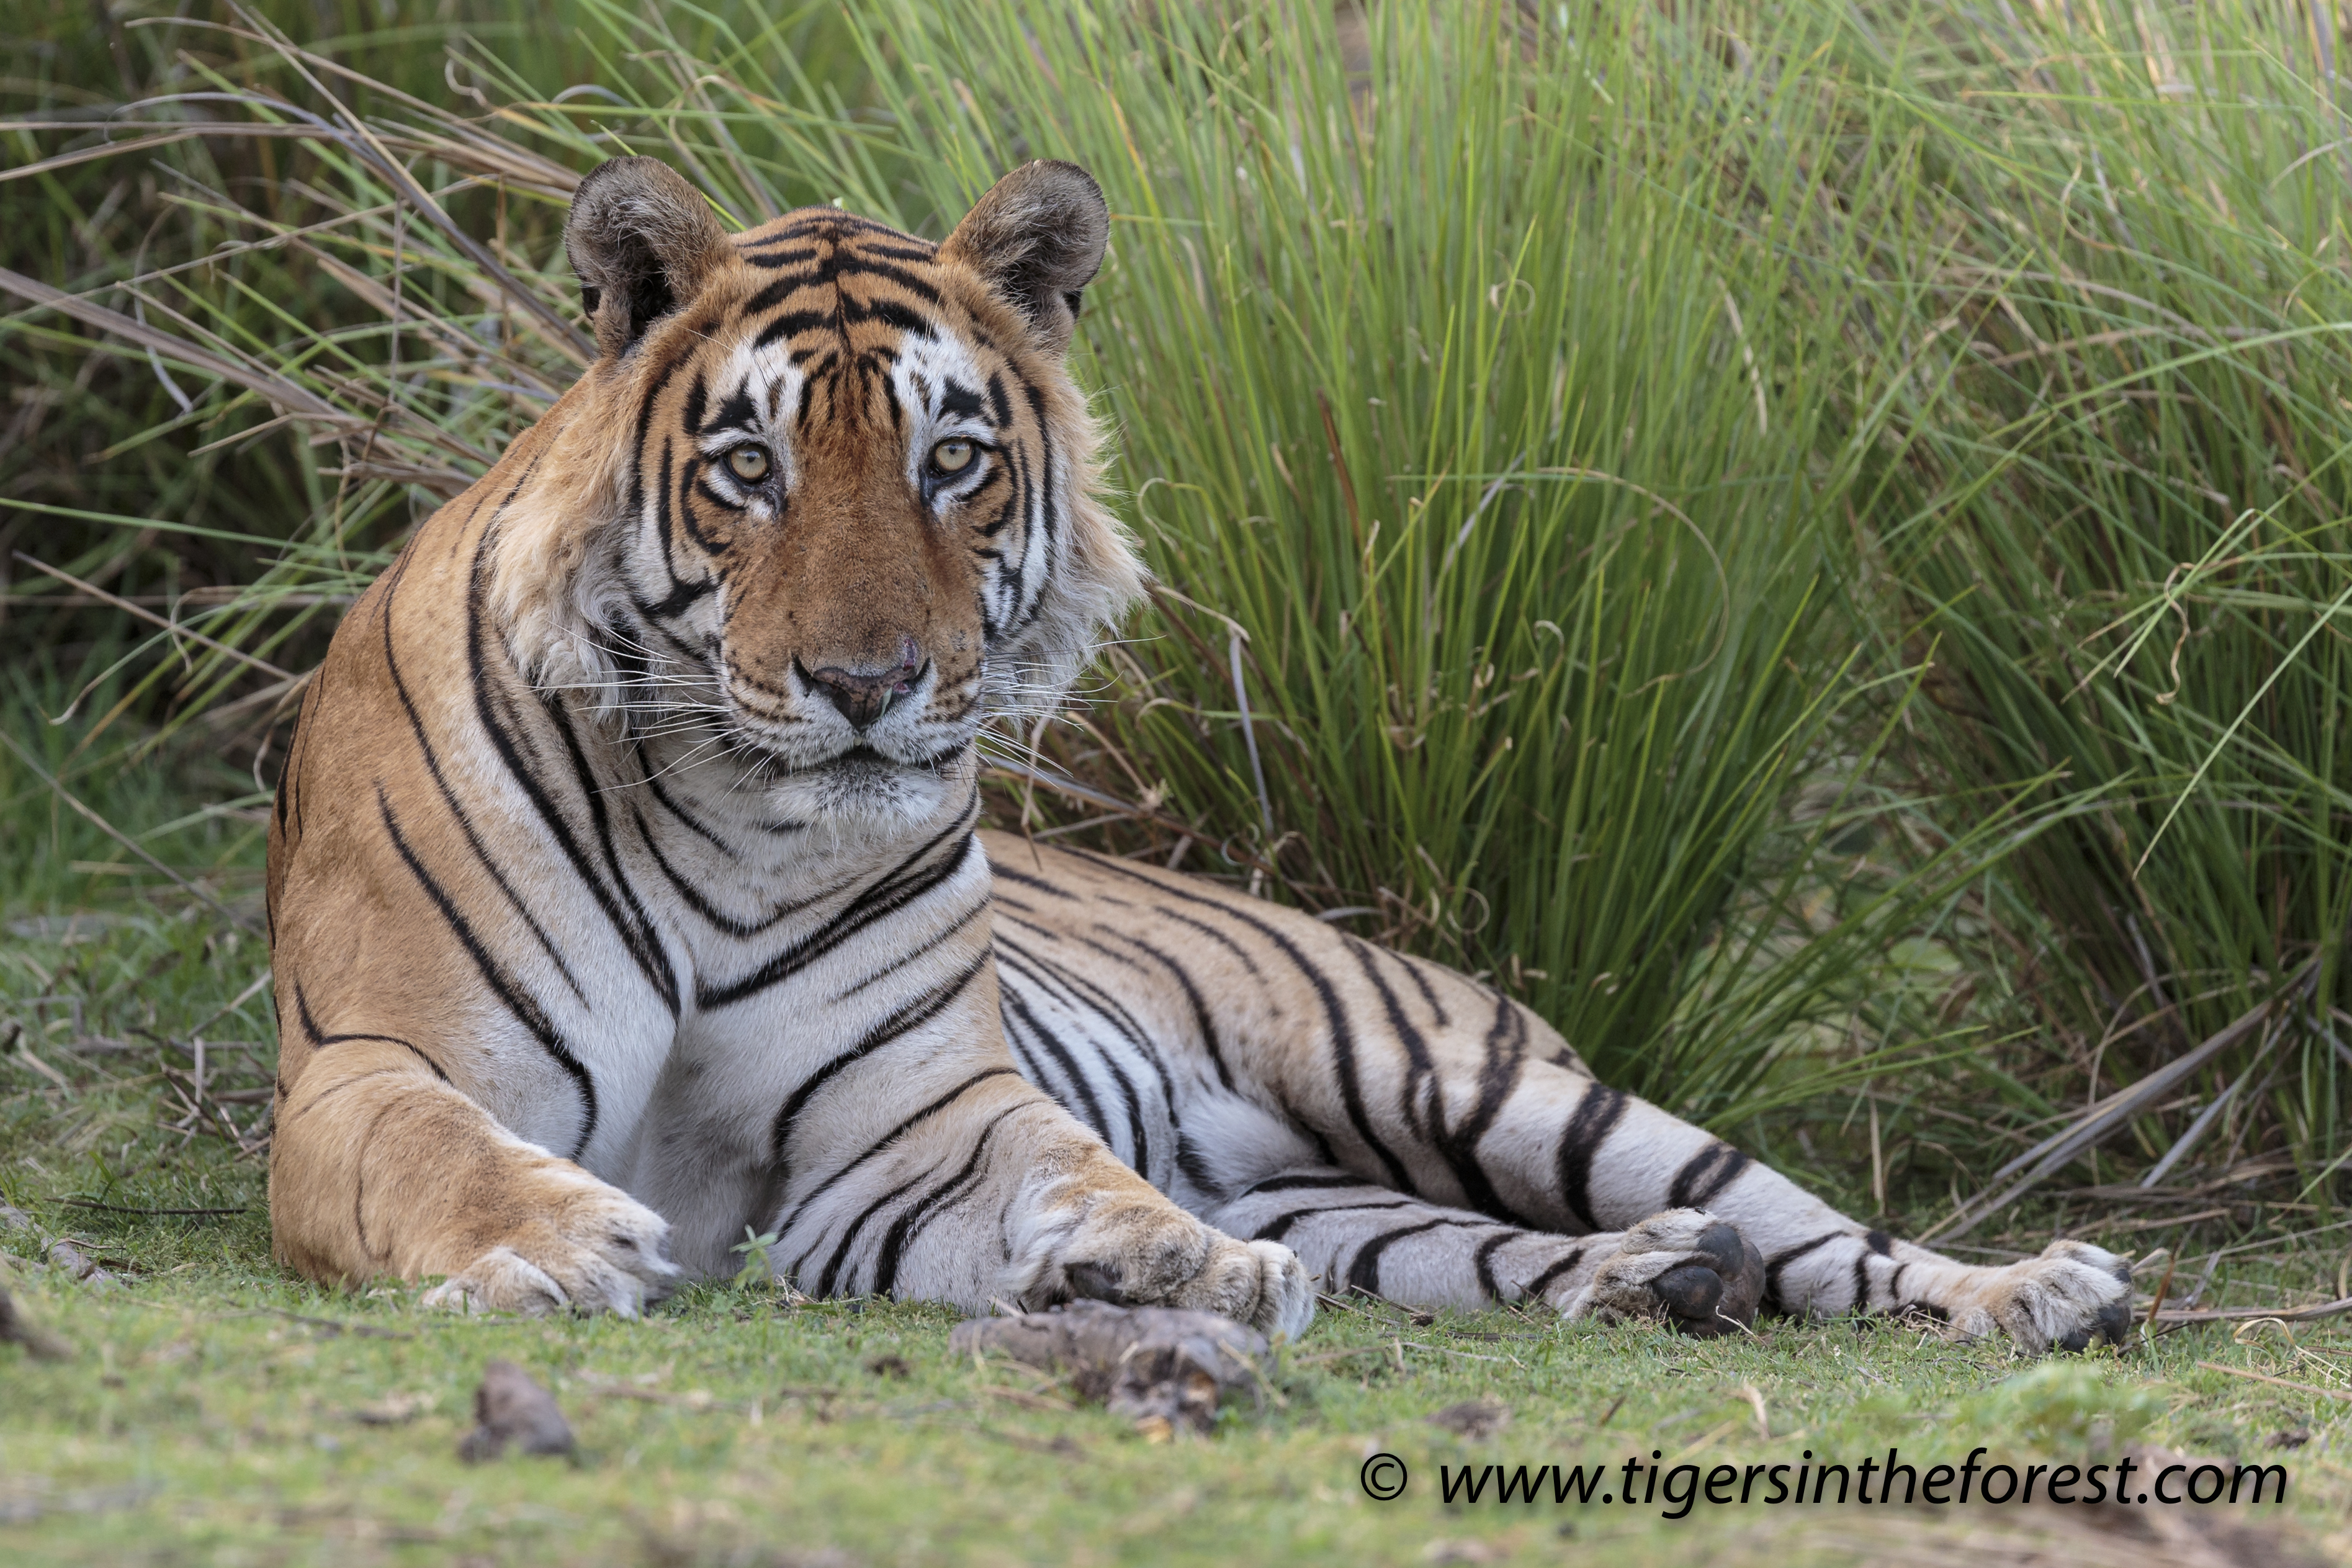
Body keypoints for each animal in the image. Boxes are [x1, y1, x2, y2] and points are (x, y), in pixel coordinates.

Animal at [264, 154, 2134, 1353]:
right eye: (749, 468)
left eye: (952, 460)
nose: (868, 682)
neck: (729, 811)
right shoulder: (362, 1066)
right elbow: (438, 1150)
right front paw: (565, 1240)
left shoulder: (912, 1123)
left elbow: (1053, 1161)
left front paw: (1158, 1260)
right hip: (1354, 1198)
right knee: (1503, 1252)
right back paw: (1659, 1278)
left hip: (1478, 1080)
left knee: (1819, 1228)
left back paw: (2028, 1290)